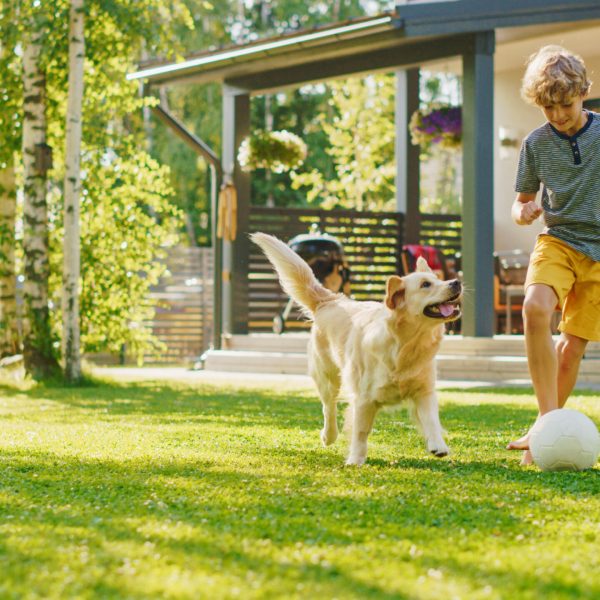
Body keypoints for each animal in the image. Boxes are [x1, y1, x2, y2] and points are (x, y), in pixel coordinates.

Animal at [251, 232, 462, 466]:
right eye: (426, 284)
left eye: (438, 279)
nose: (456, 282)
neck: (406, 345)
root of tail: (331, 300)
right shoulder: (364, 398)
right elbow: (360, 432)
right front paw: (355, 459)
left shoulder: (424, 391)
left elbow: (431, 420)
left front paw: (438, 446)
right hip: (327, 377)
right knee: (329, 407)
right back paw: (328, 436)